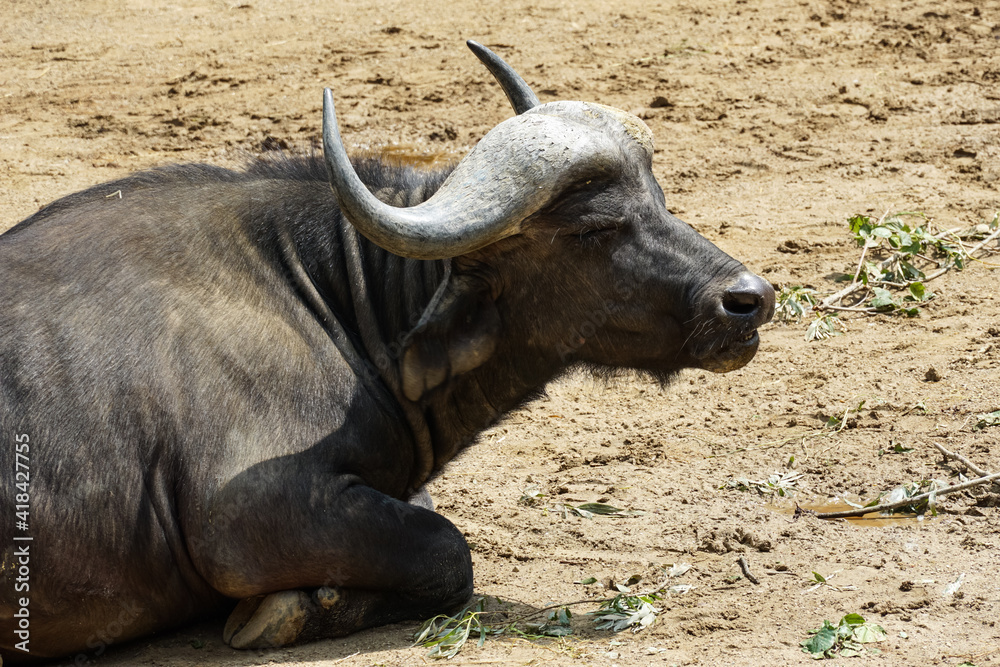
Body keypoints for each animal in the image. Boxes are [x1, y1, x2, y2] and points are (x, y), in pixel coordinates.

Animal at [0, 42, 774, 661]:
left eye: (660, 200)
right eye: (595, 228)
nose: (750, 299)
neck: (324, 297)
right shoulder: (244, 517)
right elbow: (450, 551)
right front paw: (294, 610)